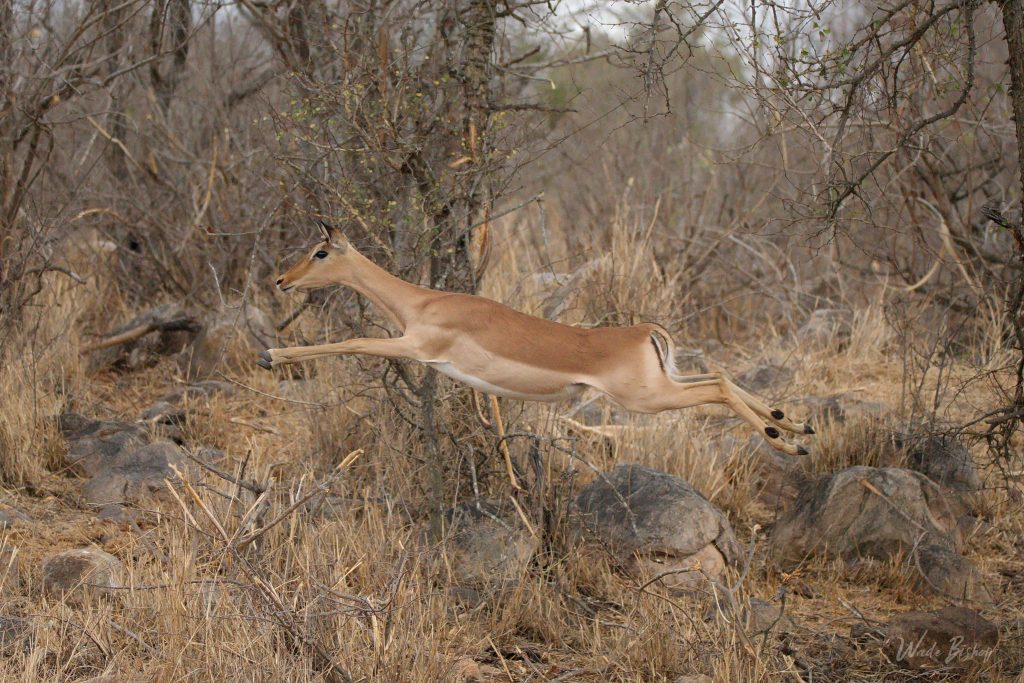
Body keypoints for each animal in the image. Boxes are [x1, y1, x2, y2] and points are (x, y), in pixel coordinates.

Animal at [259, 222, 814, 456]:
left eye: (320, 252)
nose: (282, 280)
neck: (426, 304)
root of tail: (643, 331)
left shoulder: (416, 347)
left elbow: (349, 344)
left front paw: (271, 354)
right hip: (662, 383)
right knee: (719, 374)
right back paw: (795, 425)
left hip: (646, 398)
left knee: (717, 387)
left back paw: (785, 444)